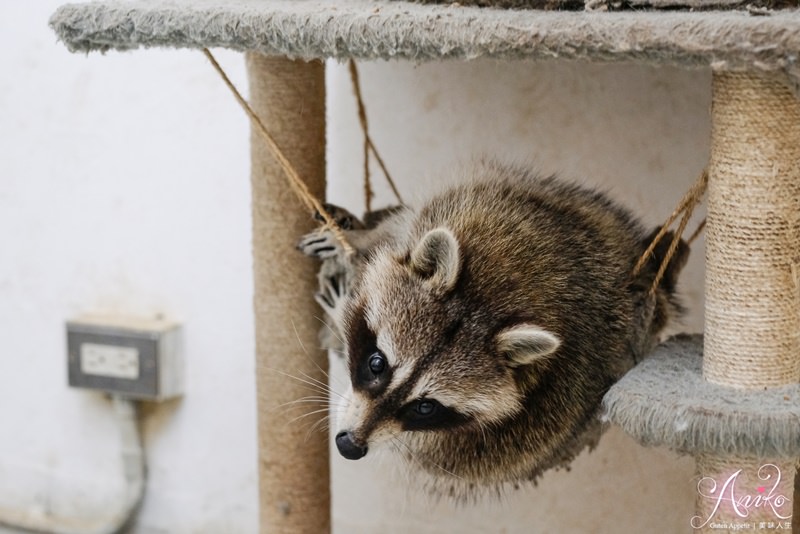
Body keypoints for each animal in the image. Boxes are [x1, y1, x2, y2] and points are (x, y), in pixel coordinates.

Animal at [296, 161, 688, 500]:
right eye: (377, 364)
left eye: (425, 406)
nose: (349, 446)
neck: (488, 300)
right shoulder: (464, 206)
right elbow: (396, 234)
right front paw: (360, 239)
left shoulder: (512, 436)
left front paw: (340, 308)